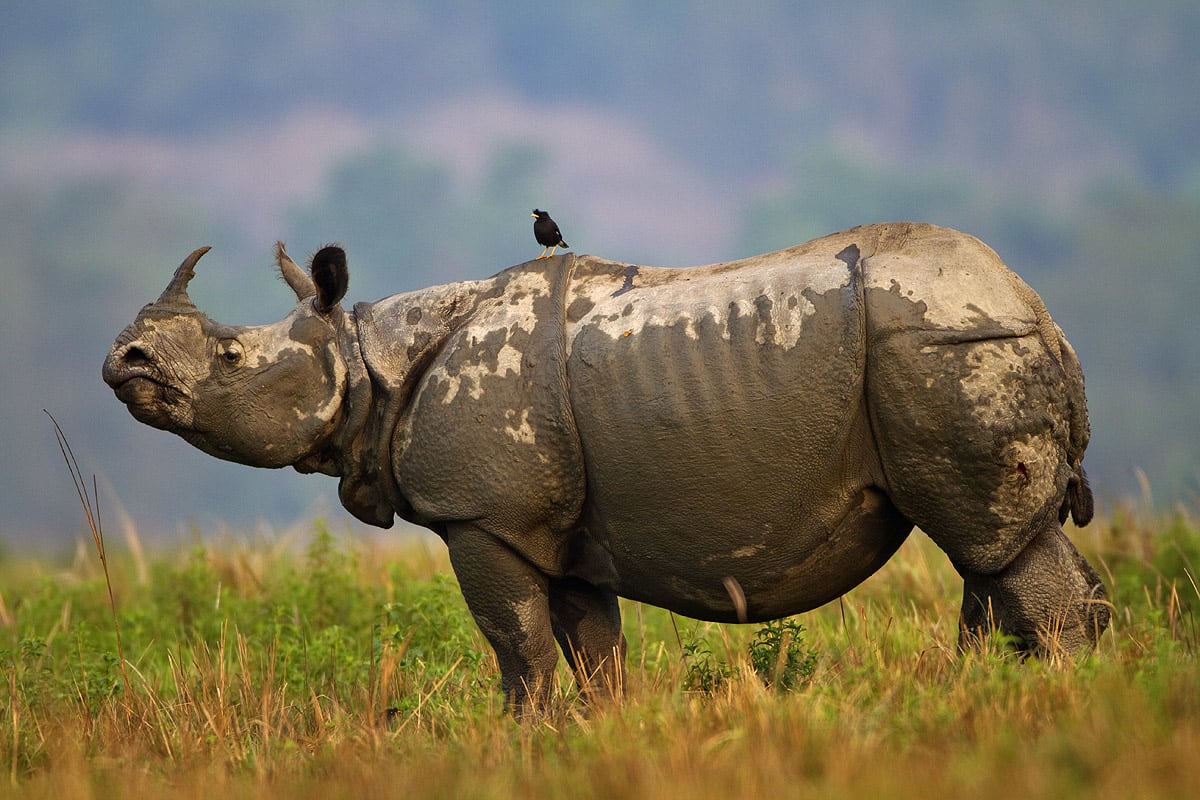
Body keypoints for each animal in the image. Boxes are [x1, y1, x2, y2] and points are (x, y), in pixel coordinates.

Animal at [103, 222, 1109, 712]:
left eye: (230, 356)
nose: (125, 360)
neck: (362, 357)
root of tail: (1040, 308)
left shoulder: (483, 518)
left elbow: (516, 647)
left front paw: (521, 741)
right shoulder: (564, 534)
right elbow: (591, 653)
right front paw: (593, 740)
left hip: (946, 345)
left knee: (996, 548)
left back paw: (1056, 705)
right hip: (956, 342)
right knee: (991, 551)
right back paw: (1003, 699)